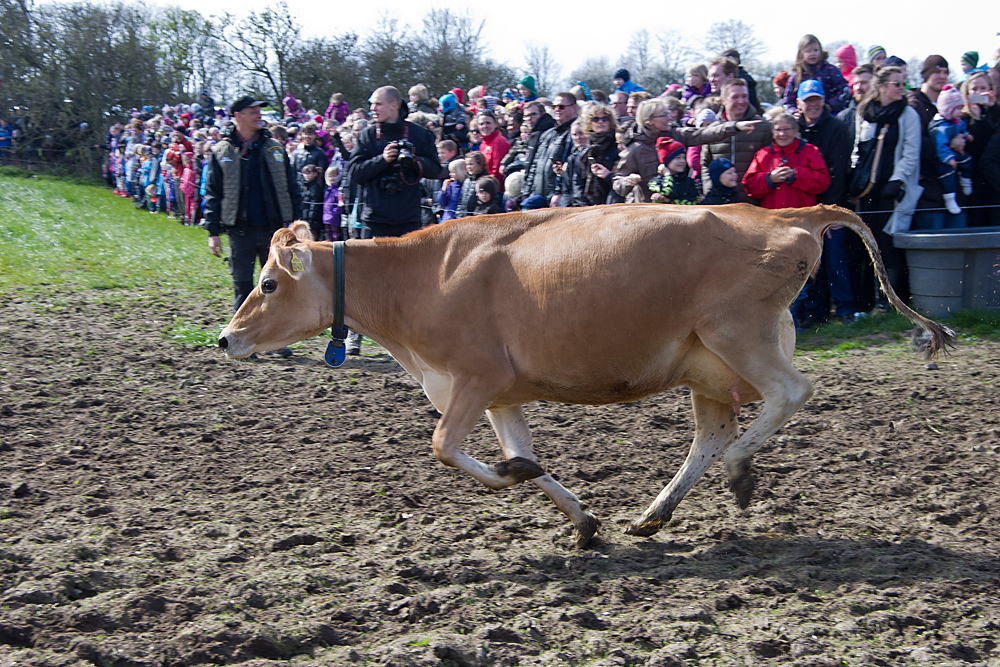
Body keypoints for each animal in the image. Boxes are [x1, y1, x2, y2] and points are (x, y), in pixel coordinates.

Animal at [217, 205, 952, 548]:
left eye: (268, 282)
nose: (226, 337)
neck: (419, 279)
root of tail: (783, 216)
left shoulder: (475, 377)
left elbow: (444, 447)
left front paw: (521, 480)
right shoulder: (499, 394)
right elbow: (523, 458)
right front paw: (577, 515)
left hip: (737, 335)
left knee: (789, 394)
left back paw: (739, 472)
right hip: (707, 364)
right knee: (713, 433)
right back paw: (654, 514)